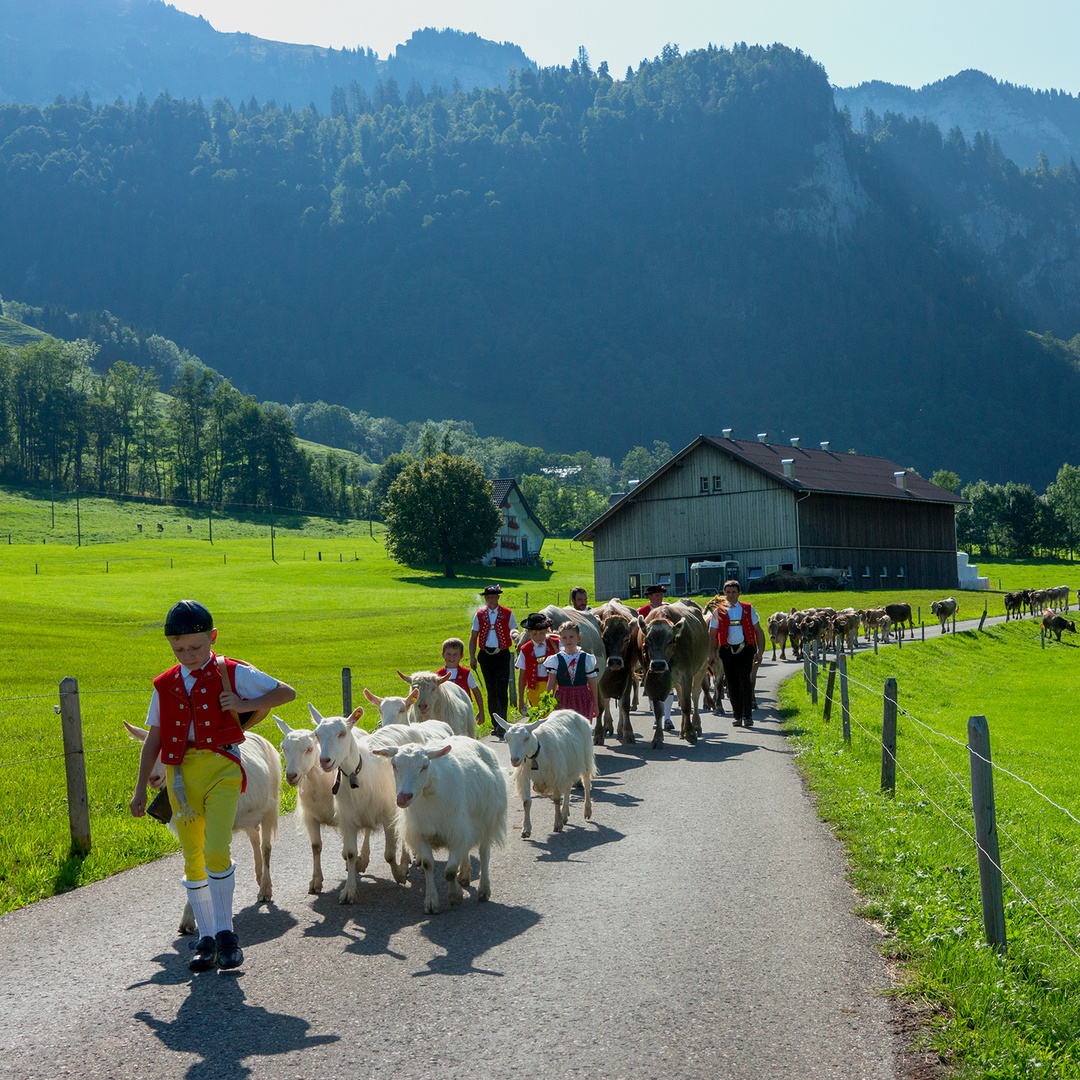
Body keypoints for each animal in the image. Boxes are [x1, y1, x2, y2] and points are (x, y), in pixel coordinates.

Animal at [124, 721, 280, 933]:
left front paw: (193, 917)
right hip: (249, 814)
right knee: (254, 839)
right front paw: (192, 918)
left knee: (266, 847)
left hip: (269, 808)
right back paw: (258, 876)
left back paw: (265, 889)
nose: (153, 778)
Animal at [371, 738, 505, 915]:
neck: (429, 796)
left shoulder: (456, 832)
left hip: (488, 819)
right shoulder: (421, 833)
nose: (403, 797)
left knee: (484, 854)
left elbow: (450, 871)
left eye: (424, 766)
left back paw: (484, 889)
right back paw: (464, 875)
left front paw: (455, 896)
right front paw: (431, 901)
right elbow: (428, 865)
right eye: (394, 765)